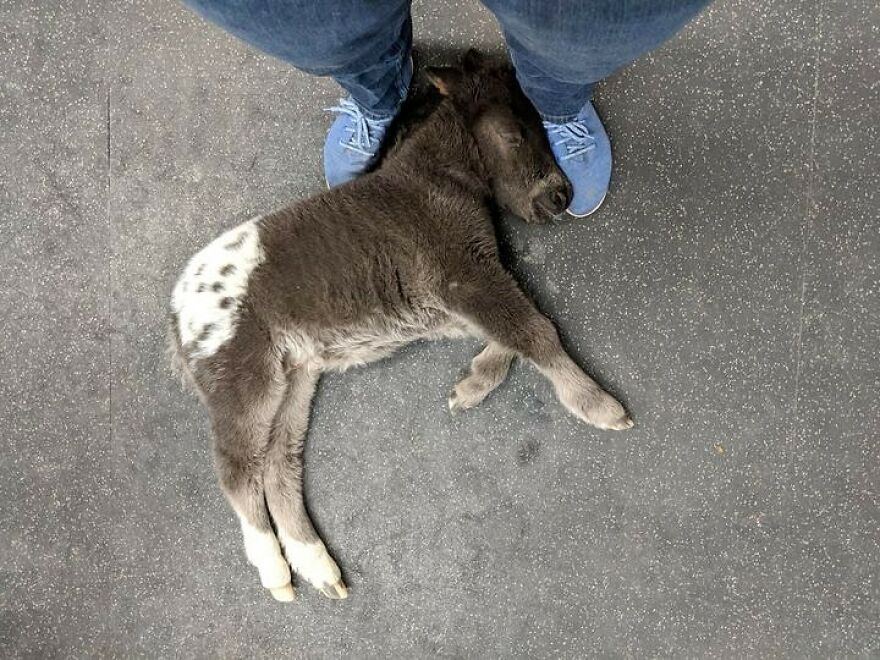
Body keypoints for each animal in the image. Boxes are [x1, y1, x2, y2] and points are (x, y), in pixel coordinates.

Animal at [168, 51, 628, 604]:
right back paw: (275, 571)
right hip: (244, 381)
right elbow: (535, 330)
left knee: (279, 468)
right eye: (514, 132)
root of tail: (176, 315)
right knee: (239, 474)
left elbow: (514, 334)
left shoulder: (446, 301)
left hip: (294, 381)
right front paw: (599, 406)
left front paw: (470, 386)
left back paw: (316, 566)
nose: (560, 196)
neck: (435, 177)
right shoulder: (459, 275)